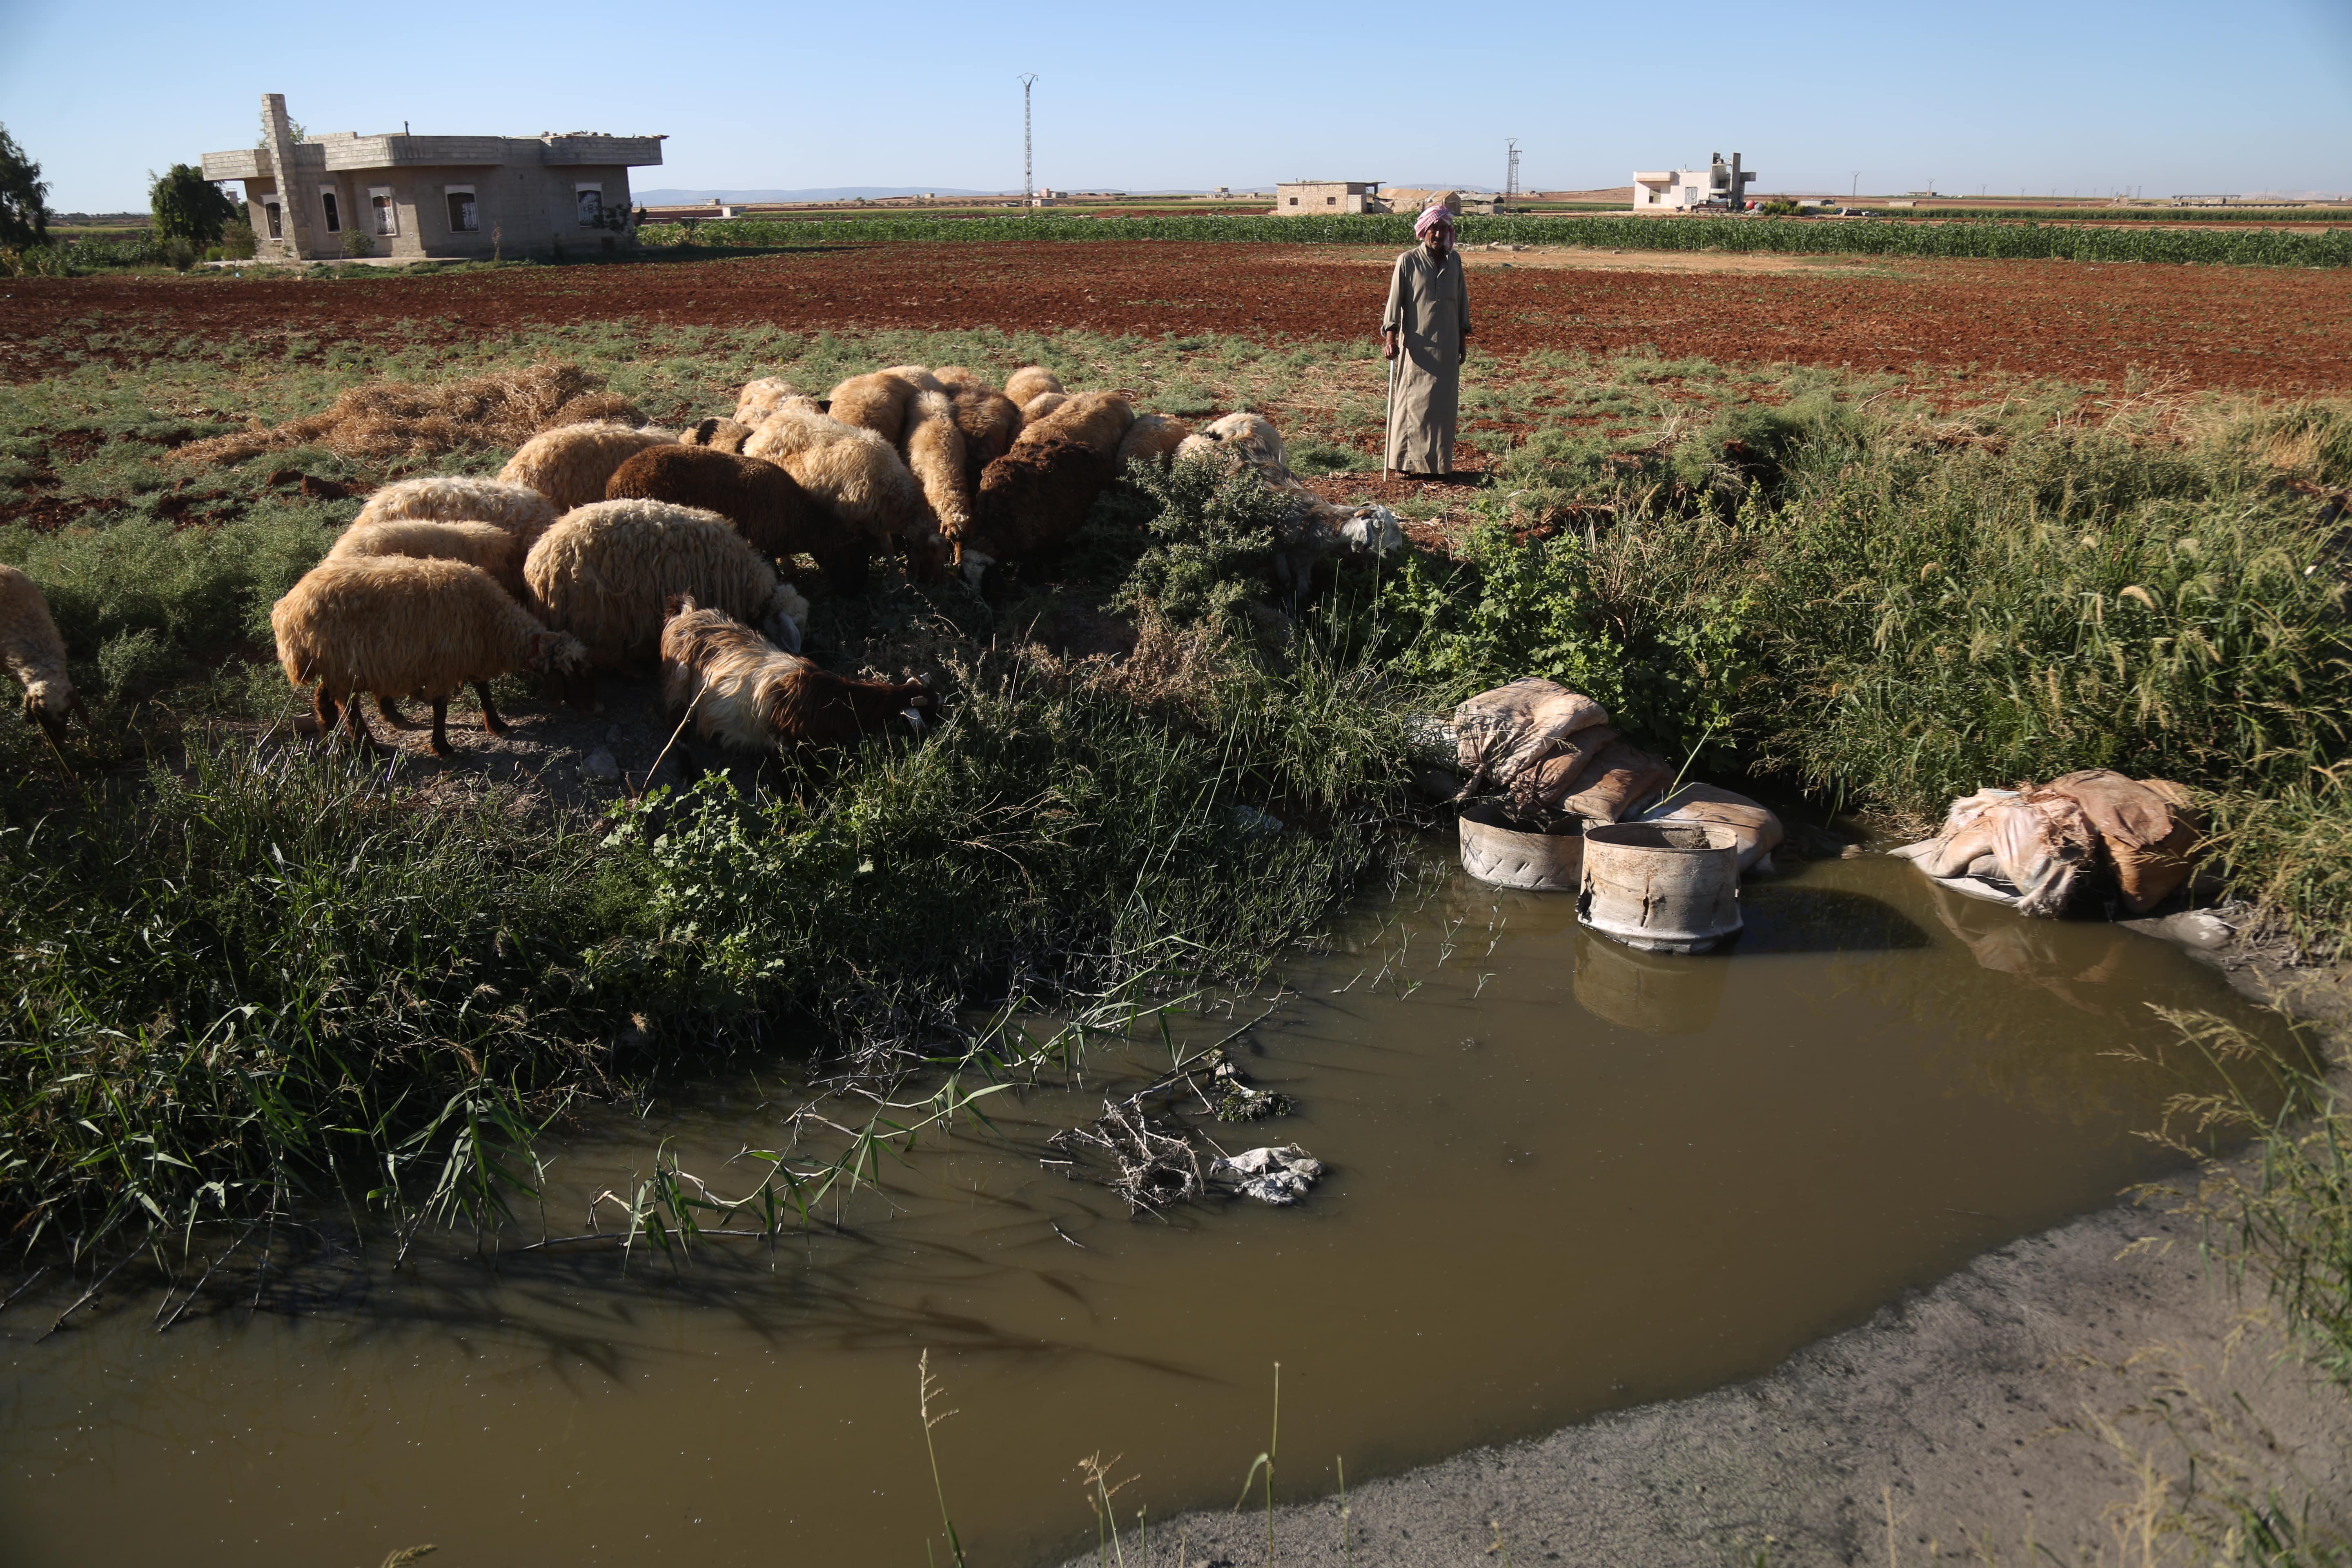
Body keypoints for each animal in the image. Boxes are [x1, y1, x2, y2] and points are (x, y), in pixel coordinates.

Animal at [271, 557, 592, 757]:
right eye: (569, 674)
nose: (596, 709)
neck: (493, 624)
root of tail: (288, 611)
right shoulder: (444, 664)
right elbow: (441, 708)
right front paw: (442, 746)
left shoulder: (469, 654)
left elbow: (482, 688)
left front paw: (496, 723)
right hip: (341, 663)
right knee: (350, 709)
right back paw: (370, 749)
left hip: (334, 665)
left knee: (323, 697)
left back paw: (332, 737)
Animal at [660, 595, 930, 755]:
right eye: (932, 708)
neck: (826, 698)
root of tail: (686, 613)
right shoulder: (787, 745)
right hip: (678, 685)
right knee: (677, 731)